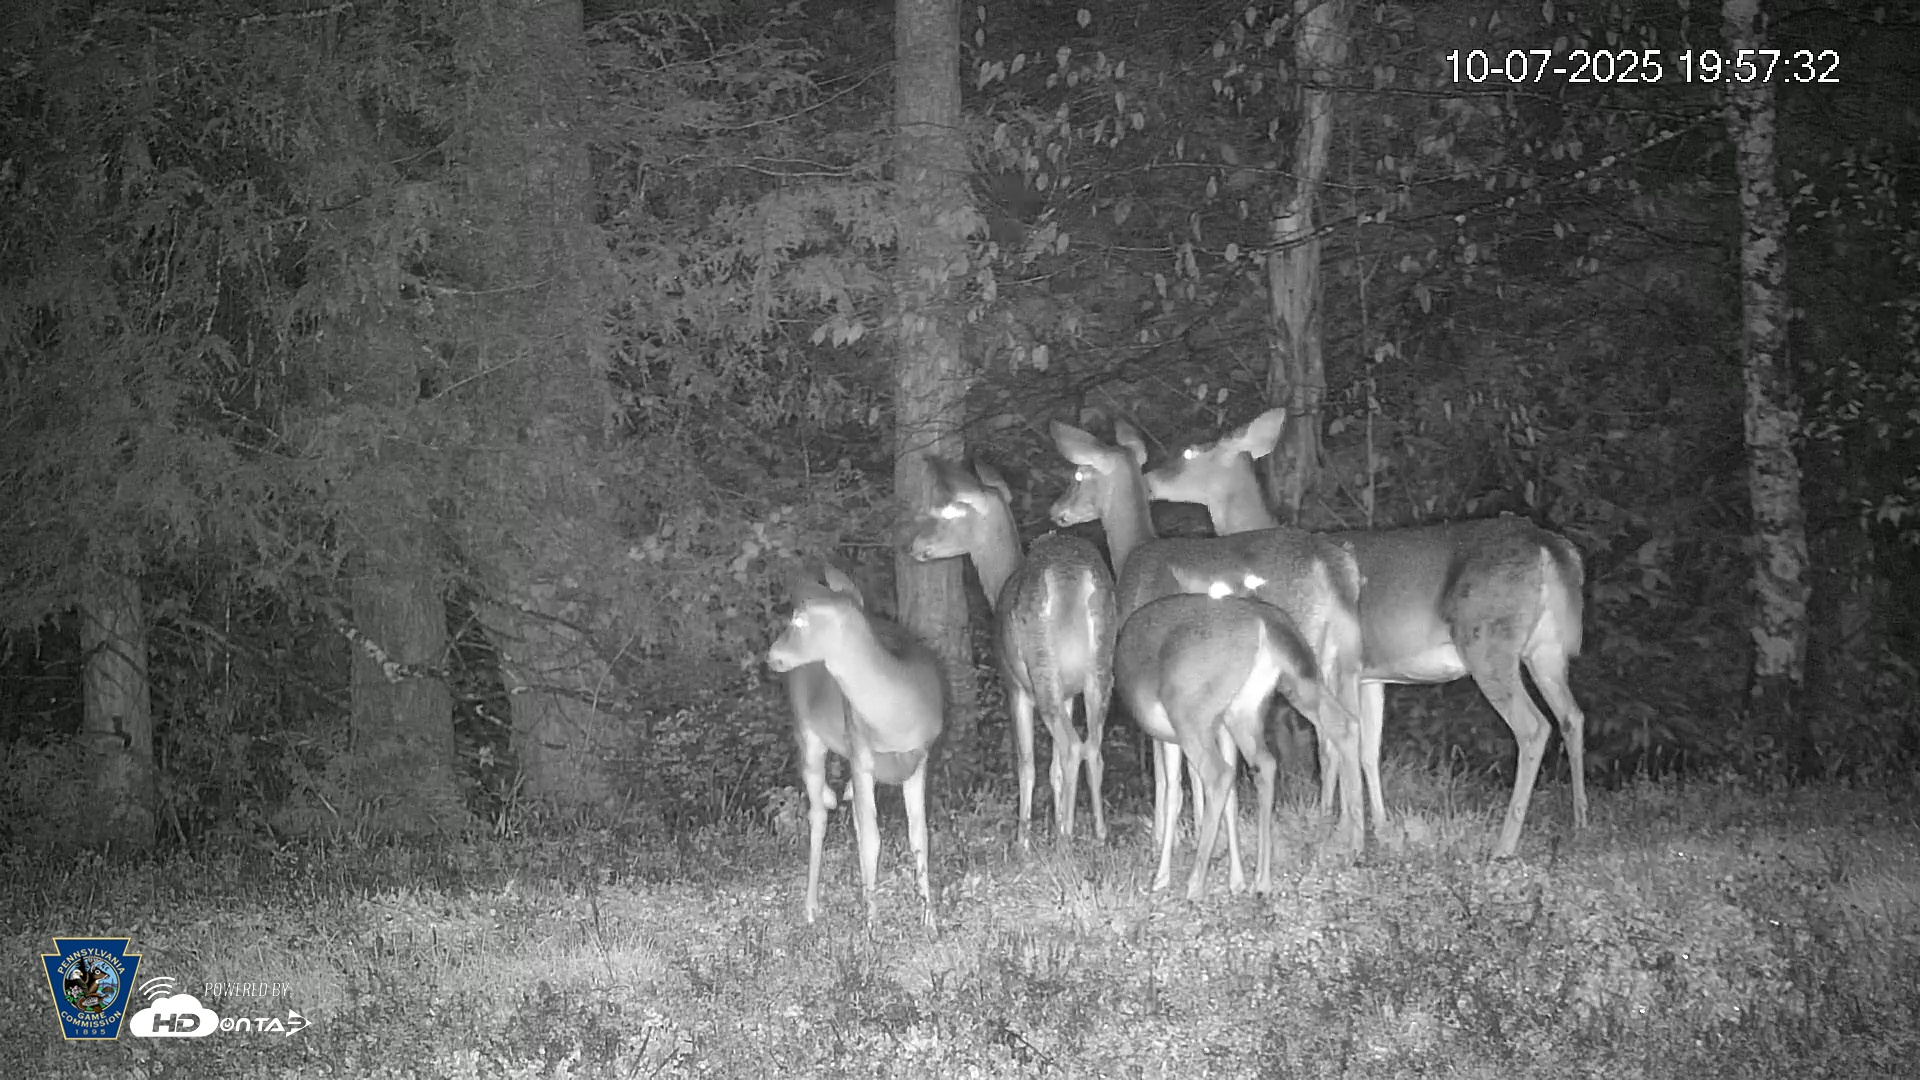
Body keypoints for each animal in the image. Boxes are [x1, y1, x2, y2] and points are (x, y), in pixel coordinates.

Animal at [768, 567, 946, 929]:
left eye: (798, 621)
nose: (771, 655)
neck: (897, 719)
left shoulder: (921, 757)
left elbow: (919, 836)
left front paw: (930, 921)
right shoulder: (861, 752)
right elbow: (871, 839)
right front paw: (871, 925)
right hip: (807, 731)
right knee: (818, 813)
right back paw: (811, 908)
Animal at [907, 457, 1117, 847]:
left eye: (948, 510)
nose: (915, 545)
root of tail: (1077, 581)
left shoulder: (1014, 684)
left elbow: (1027, 763)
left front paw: (1025, 840)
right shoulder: (1069, 692)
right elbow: (1052, 769)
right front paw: (1058, 823)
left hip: (1040, 662)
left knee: (1071, 746)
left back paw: (1064, 845)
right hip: (1100, 664)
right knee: (1093, 747)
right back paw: (1098, 835)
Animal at [1048, 420, 1369, 889]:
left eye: (1077, 475)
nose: (1056, 511)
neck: (1133, 552)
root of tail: (1333, 569)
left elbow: (1169, 773)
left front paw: (1171, 841)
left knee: (1328, 736)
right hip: (1337, 661)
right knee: (1347, 727)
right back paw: (1353, 837)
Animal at [1141, 406, 1589, 859]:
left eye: (1189, 450)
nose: (1147, 476)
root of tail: (1551, 548)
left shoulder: (1336, 664)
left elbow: (1331, 746)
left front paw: (1333, 824)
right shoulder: (1372, 675)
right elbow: (1369, 749)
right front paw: (1379, 825)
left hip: (1487, 638)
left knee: (1533, 727)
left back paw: (1505, 843)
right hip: (1545, 649)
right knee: (1572, 715)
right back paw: (1580, 823)